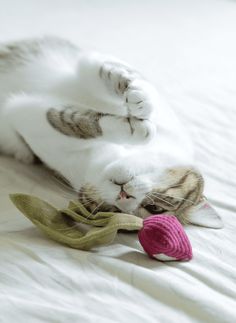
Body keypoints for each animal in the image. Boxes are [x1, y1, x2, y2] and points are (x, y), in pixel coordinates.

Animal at [0, 36, 219, 227]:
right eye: (156, 208)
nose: (124, 197)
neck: (110, 153)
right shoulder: (91, 63)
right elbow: (112, 72)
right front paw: (138, 98)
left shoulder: (33, 125)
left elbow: (65, 119)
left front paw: (133, 128)